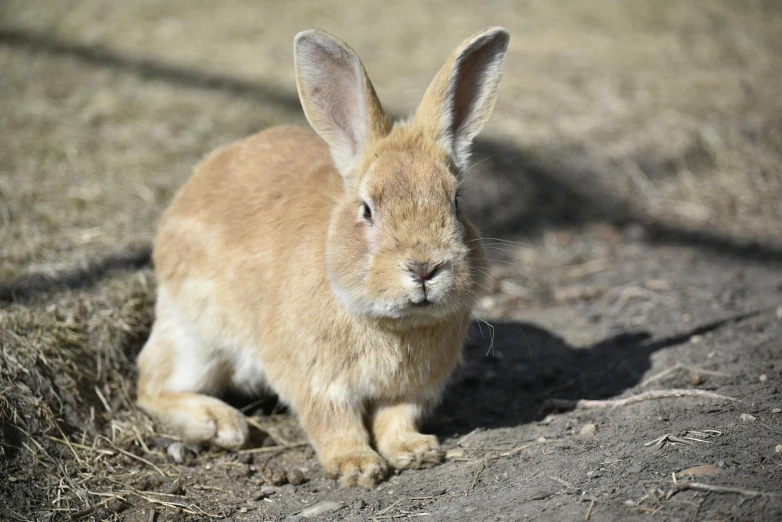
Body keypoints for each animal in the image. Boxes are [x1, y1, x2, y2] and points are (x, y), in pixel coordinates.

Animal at [138, 26, 512, 486]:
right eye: (366, 209)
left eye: (456, 202)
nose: (424, 267)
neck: (394, 323)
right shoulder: (317, 382)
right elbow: (334, 422)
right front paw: (357, 467)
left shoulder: (410, 389)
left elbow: (397, 418)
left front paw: (416, 452)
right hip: (196, 337)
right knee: (151, 384)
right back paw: (221, 424)